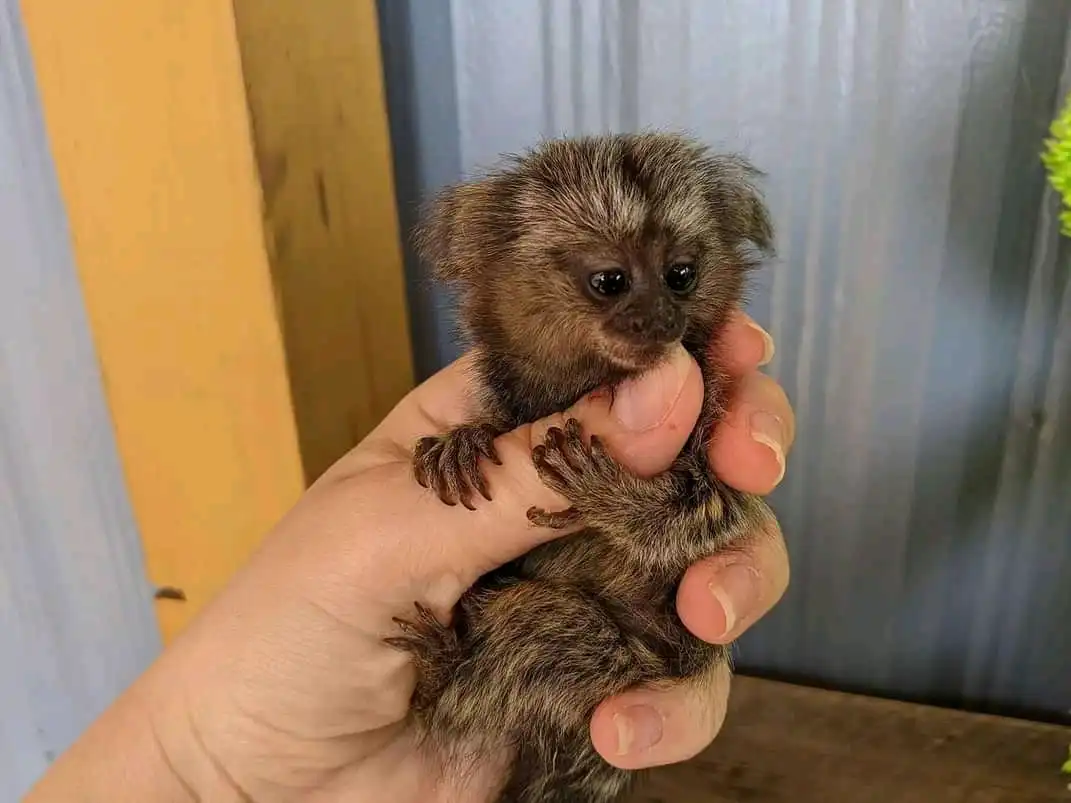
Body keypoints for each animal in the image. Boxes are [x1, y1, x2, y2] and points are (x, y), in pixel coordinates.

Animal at [385, 131, 778, 803]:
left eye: (681, 276)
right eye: (610, 281)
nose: (660, 320)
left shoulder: (717, 421)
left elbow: (709, 514)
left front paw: (605, 496)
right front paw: (464, 440)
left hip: (616, 669)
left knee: (548, 630)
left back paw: (442, 674)